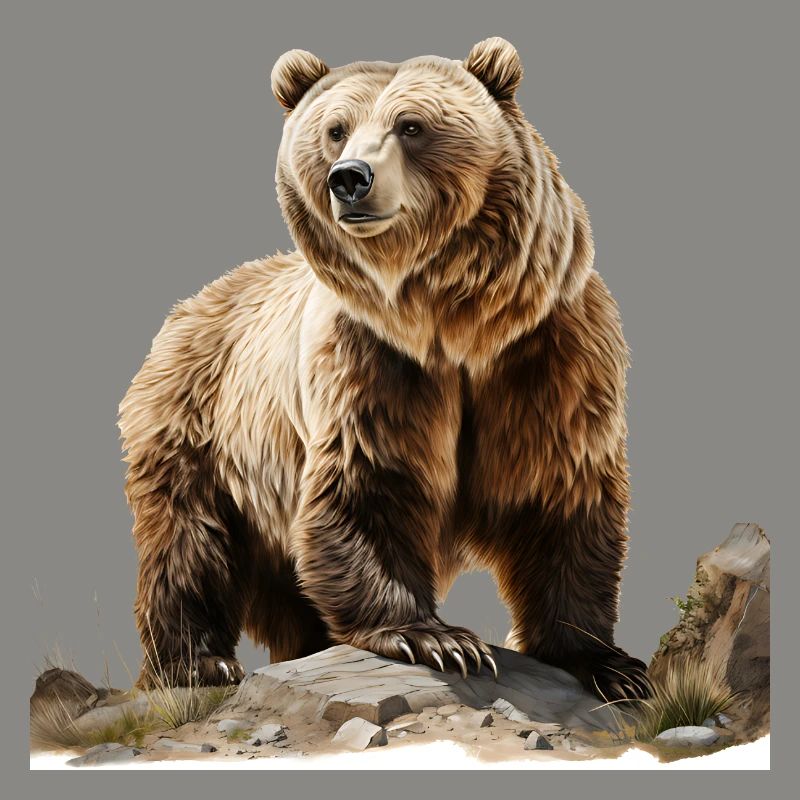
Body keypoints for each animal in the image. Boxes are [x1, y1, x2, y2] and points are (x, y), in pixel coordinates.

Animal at [118, 37, 649, 702]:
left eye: (412, 125)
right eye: (335, 129)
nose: (350, 178)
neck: (452, 324)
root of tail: (187, 309)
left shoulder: (548, 352)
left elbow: (561, 492)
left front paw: (608, 663)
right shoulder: (370, 361)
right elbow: (369, 481)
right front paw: (436, 639)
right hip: (202, 429)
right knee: (189, 542)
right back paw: (197, 663)